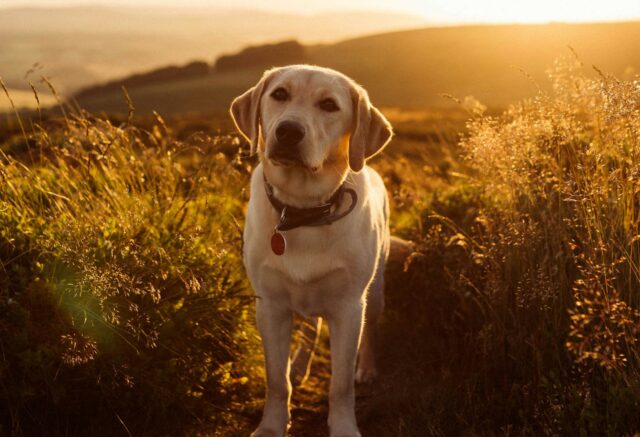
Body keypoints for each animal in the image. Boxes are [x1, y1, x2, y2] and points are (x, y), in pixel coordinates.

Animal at [231, 64, 404, 436]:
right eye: (279, 94)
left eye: (329, 105)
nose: (288, 131)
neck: (302, 211)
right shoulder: (270, 306)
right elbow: (276, 381)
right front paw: (271, 426)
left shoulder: (349, 307)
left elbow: (340, 385)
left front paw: (344, 427)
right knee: (310, 329)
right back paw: (299, 364)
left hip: (375, 291)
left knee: (371, 331)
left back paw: (367, 369)